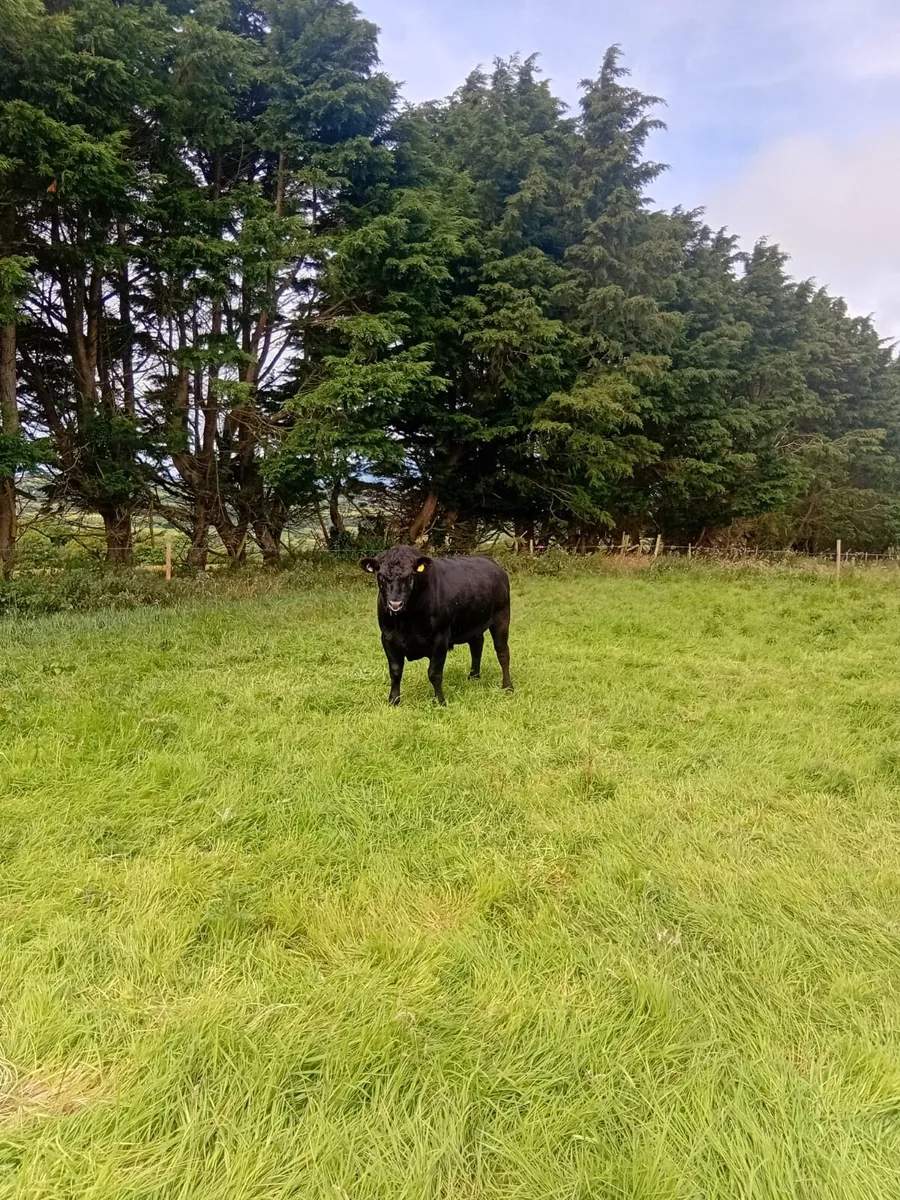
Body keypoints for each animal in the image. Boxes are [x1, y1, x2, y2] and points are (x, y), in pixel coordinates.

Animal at [360, 545, 513, 706]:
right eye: (381, 576)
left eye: (410, 576)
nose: (395, 603)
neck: (405, 623)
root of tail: (493, 564)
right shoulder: (388, 638)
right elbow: (395, 672)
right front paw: (394, 700)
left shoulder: (440, 638)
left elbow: (434, 673)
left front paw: (440, 701)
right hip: (474, 622)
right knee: (477, 647)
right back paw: (473, 677)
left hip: (502, 617)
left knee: (502, 652)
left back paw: (507, 686)